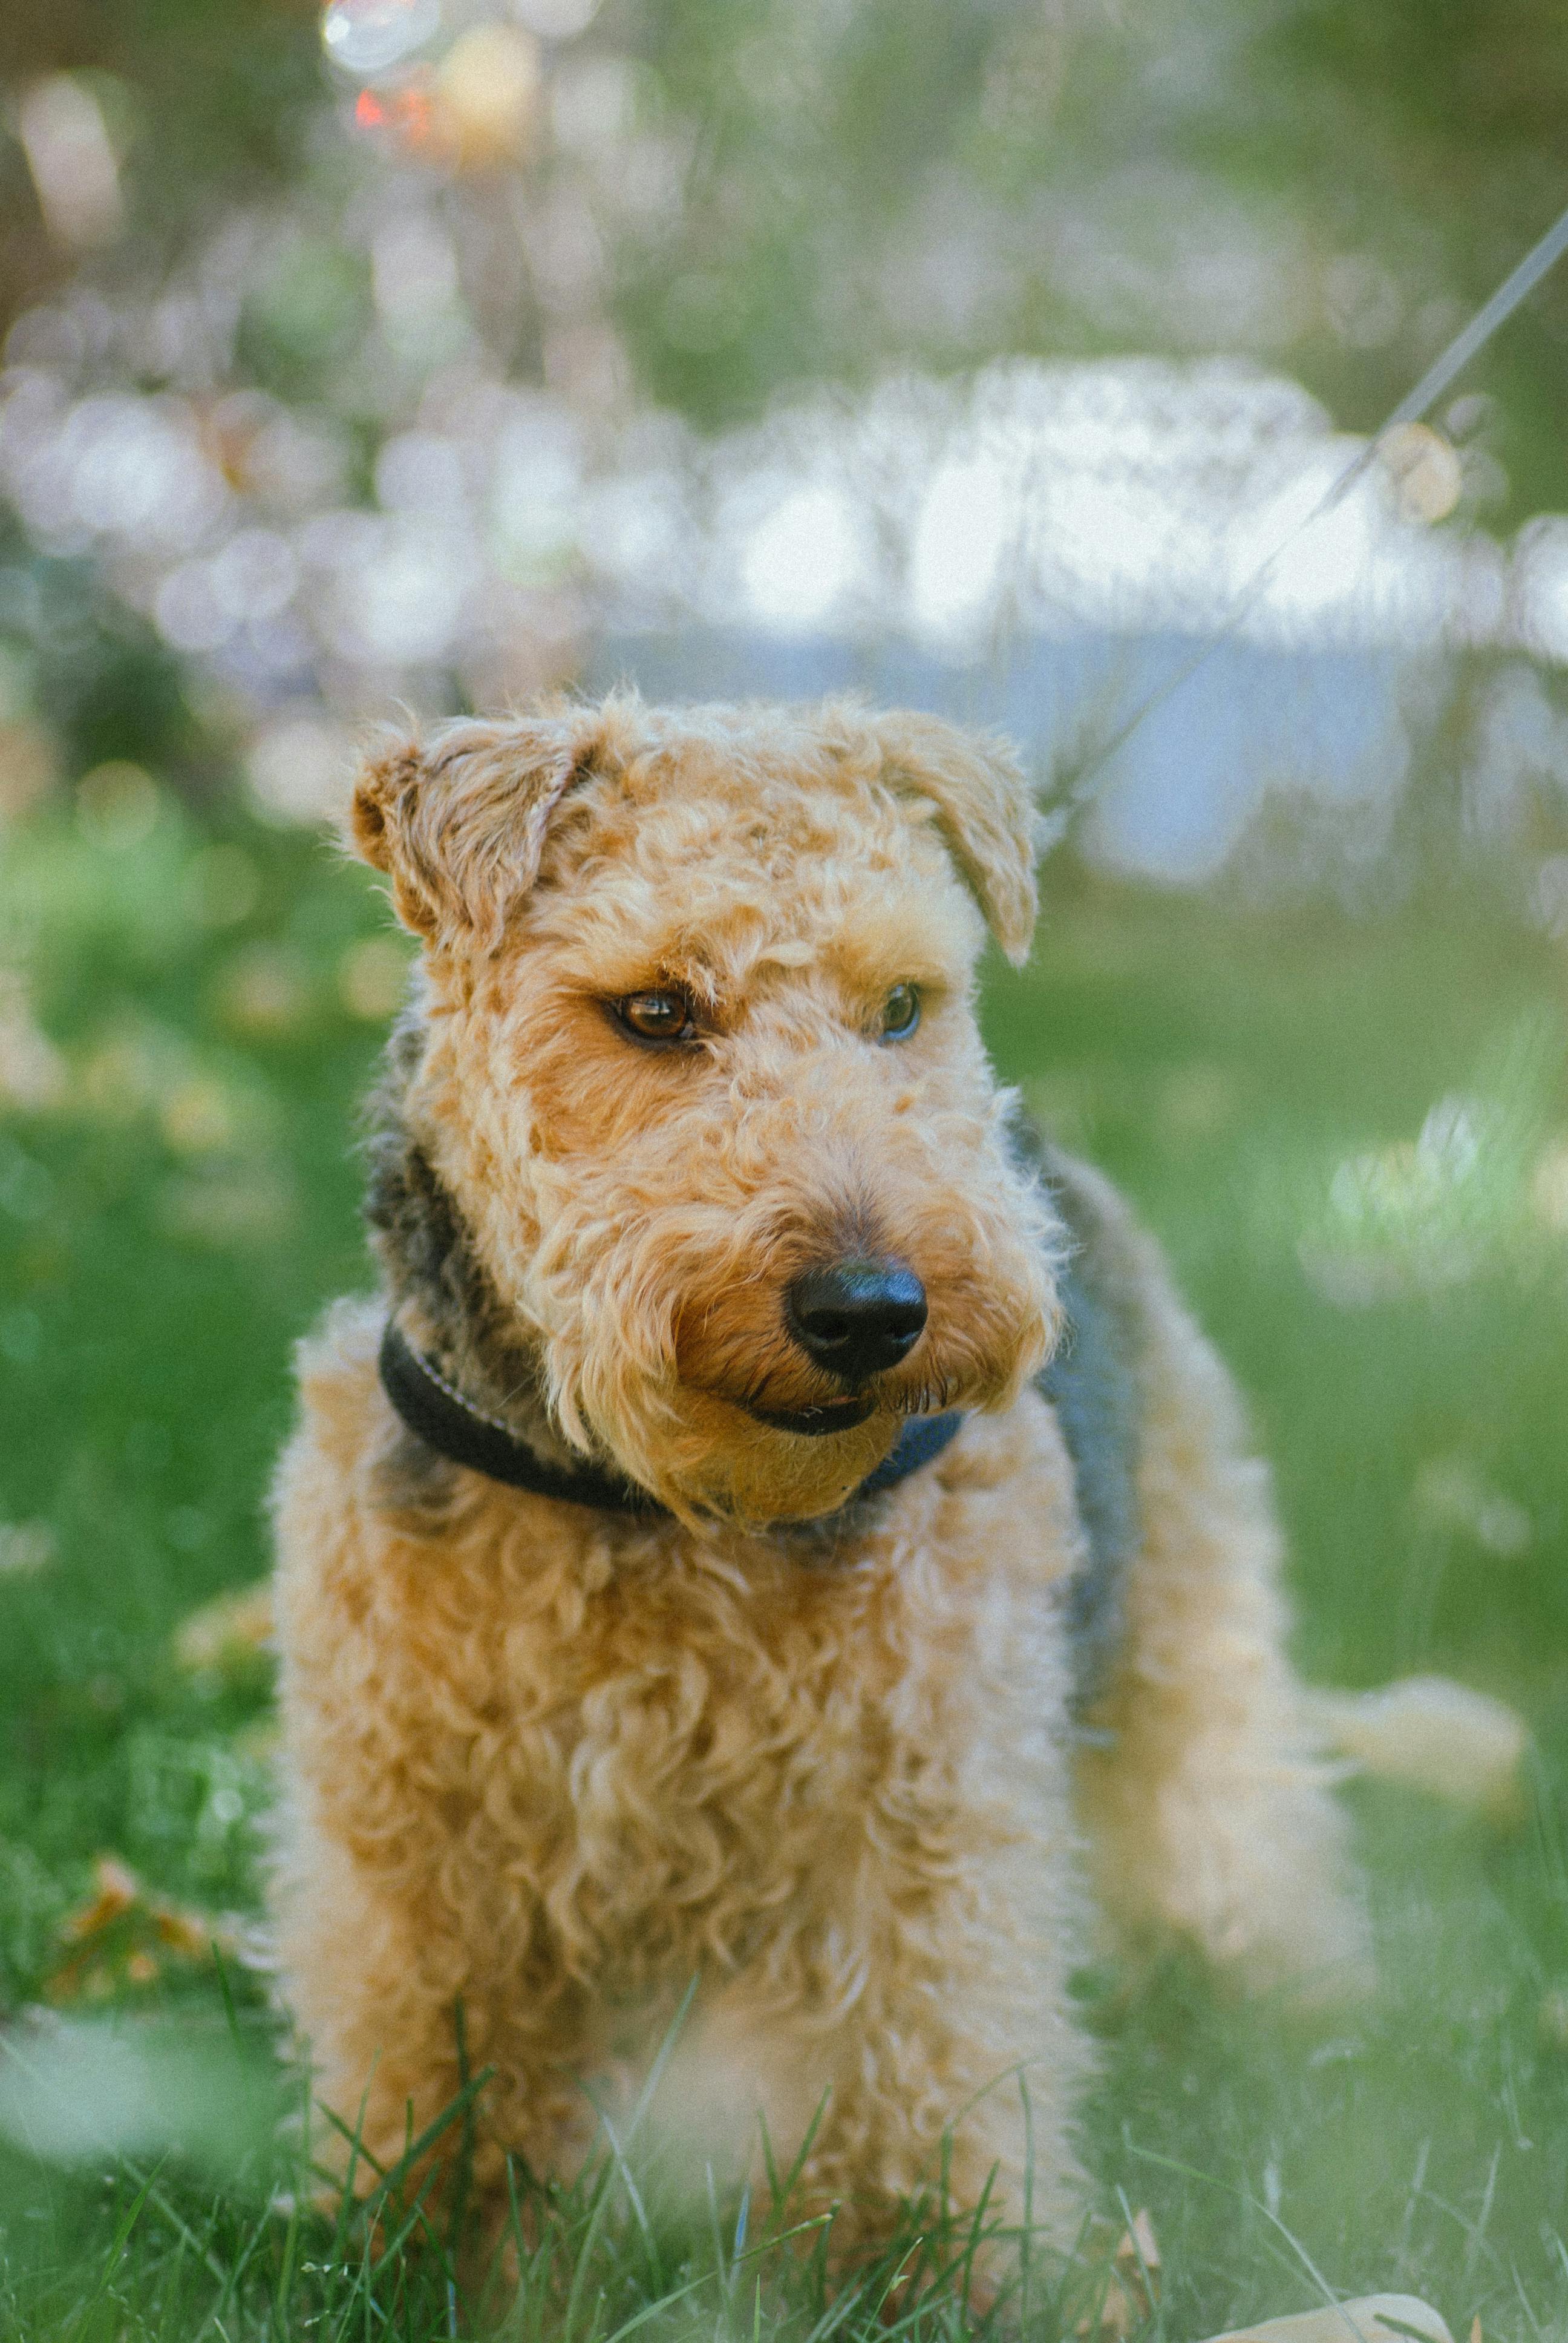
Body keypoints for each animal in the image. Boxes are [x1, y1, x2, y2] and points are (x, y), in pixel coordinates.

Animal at [272, 693, 1368, 2268]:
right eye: (655, 1009)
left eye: (901, 1004)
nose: (869, 1310)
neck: (667, 1505)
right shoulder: (419, 1818)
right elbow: (427, 2043)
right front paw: (411, 2241)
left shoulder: (919, 1808)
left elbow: (927, 2050)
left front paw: (944, 2270)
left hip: (1183, 1613)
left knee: (1235, 1811)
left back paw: (1312, 2019)